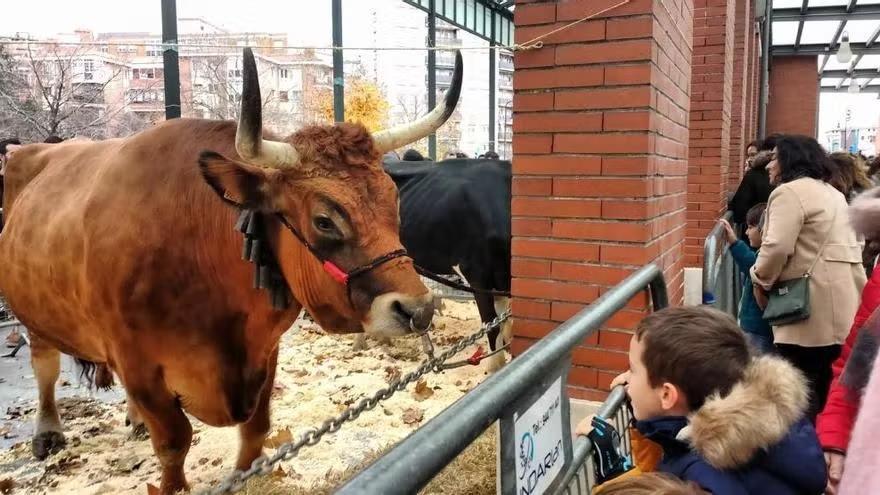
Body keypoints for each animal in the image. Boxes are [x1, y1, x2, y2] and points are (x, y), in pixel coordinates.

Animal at [0, 48, 464, 494]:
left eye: (394, 199)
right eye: (324, 220)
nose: (418, 309)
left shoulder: (264, 351)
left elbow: (256, 430)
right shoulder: (139, 365)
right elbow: (173, 443)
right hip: (34, 312)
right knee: (45, 365)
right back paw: (48, 432)